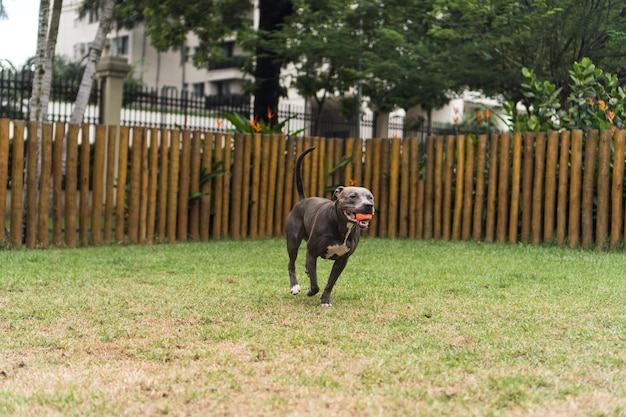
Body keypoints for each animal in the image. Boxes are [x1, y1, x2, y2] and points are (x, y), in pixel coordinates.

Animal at [284, 146, 376, 306]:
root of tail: (303, 201)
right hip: (293, 242)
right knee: (291, 264)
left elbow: (330, 282)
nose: (368, 205)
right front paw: (310, 291)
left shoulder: (342, 260)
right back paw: (294, 286)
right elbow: (315, 284)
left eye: (370, 197)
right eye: (353, 196)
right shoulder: (312, 252)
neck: (342, 226)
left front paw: (325, 299)